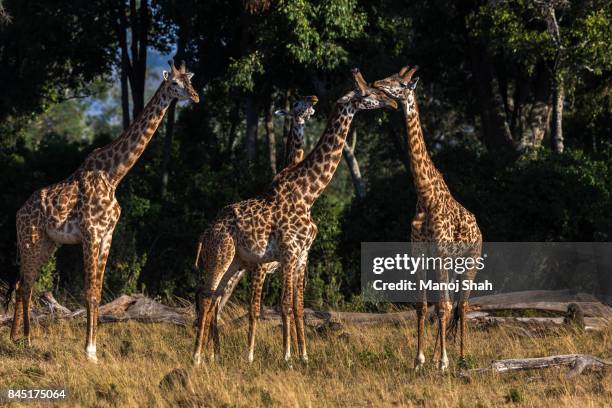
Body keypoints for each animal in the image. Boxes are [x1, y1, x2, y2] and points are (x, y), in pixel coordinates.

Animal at [11, 59, 198, 360]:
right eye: (174, 83)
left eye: (190, 81)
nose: (195, 96)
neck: (114, 175)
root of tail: (18, 213)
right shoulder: (90, 233)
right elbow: (89, 292)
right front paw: (89, 351)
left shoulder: (107, 235)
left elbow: (98, 293)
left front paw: (94, 349)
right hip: (31, 240)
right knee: (26, 284)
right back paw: (26, 340)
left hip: (48, 243)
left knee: (22, 284)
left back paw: (16, 337)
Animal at [192, 69, 396, 364]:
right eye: (370, 92)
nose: (392, 102)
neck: (307, 194)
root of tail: (205, 234)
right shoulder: (284, 255)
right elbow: (282, 306)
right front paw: (285, 356)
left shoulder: (300, 257)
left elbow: (297, 306)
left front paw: (303, 356)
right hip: (221, 257)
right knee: (207, 298)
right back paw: (198, 356)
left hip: (234, 264)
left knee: (213, 300)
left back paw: (212, 355)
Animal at [368, 66, 482, 370]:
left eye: (401, 83)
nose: (376, 83)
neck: (425, 195)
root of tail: (479, 228)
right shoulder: (419, 251)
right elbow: (422, 306)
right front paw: (420, 360)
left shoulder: (440, 251)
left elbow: (441, 307)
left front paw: (443, 362)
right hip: (452, 265)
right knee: (449, 304)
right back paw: (436, 356)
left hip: (470, 263)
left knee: (462, 306)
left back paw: (461, 358)